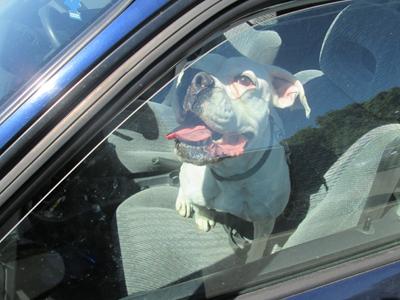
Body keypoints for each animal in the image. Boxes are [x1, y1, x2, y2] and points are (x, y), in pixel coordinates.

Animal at [166, 53, 310, 253]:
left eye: (244, 80)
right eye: (183, 73)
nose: (191, 77)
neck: (230, 173)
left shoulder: (265, 222)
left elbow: (257, 249)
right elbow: (200, 205)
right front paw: (202, 216)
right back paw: (184, 201)